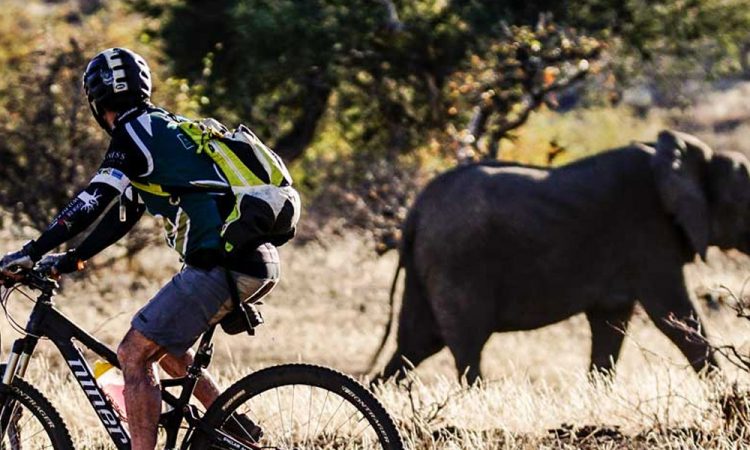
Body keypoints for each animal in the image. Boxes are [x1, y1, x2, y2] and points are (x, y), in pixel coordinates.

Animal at [369, 130, 750, 383]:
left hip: (428, 266)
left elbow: (611, 324)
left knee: (415, 345)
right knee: (465, 346)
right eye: (743, 202)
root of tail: (415, 210)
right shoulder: (649, 235)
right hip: (457, 263)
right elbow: (675, 316)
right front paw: (726, 394)